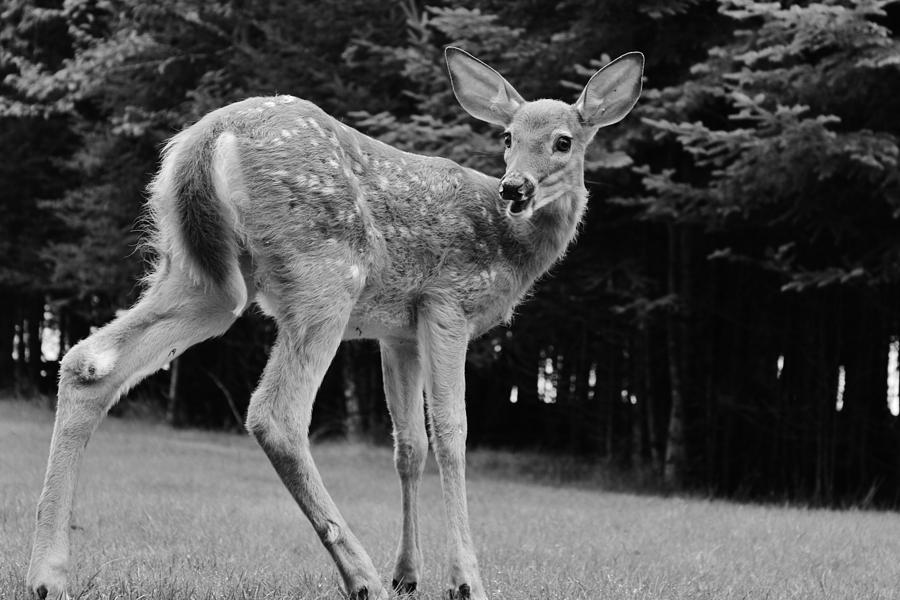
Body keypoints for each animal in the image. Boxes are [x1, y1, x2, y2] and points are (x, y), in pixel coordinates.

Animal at [24, 48, 644, 600]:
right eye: (509, 138)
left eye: (562, 141)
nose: (515, 188)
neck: (510, 244)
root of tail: (206, 138)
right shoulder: (447, 303)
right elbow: (451, 434)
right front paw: (465, 580)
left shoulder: (399, 330)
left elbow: (408, 445)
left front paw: (409, 575)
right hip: (325, 272)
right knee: (275, 414)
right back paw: (361, 576)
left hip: (204, 276)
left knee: (87, 363)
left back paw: (47, 576)